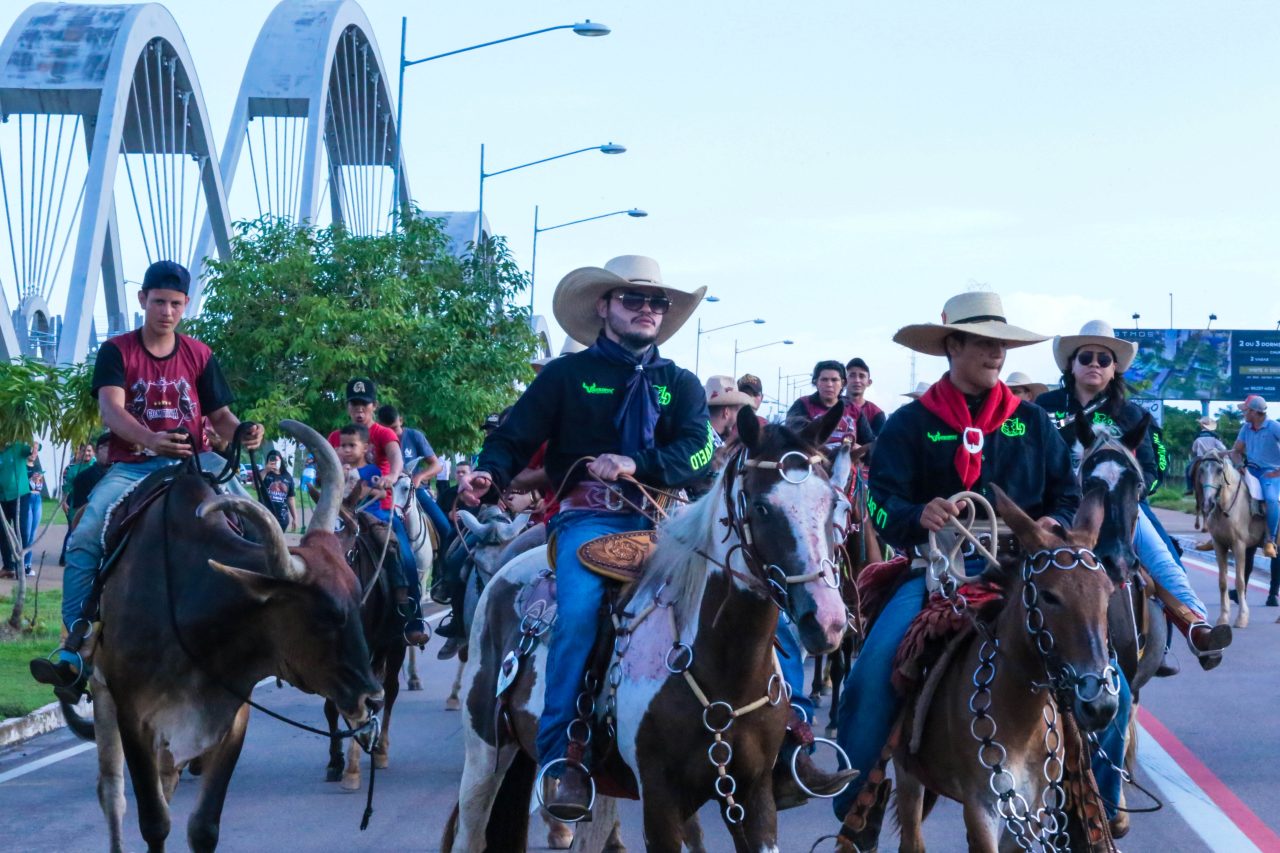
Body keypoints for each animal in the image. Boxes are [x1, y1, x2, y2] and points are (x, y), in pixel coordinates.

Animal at [890, 484, 1121, 850]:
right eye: (1049, 596)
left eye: (1108, 592)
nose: (1099, 704)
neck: (1019, 717)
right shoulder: (981, 806)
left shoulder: (1033, 811)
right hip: (906, 772)